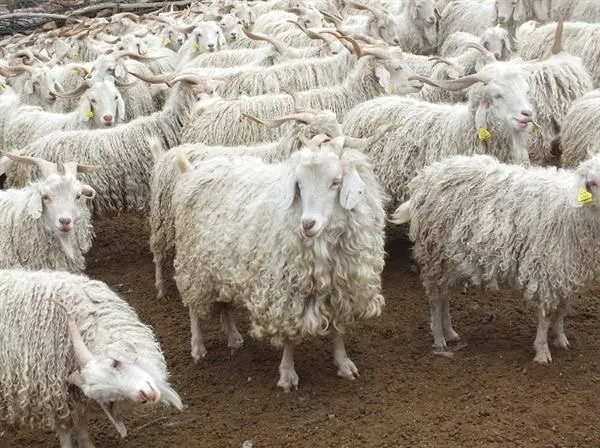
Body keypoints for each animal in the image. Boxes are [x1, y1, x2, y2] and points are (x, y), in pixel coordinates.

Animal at [0, 268, 183, 447]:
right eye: (110, 396)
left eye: (115, 363)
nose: (145, 396)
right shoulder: (53, 393)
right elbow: (65, 429)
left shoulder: (74, 393)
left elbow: (82, 420)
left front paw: (86, 443)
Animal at [171, 135, 386, 391]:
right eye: (299, 185)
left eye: (336, 182)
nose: (308, 224)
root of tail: (193, 171)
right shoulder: (286, 293)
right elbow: (289, 338)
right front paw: (287, 375)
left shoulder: (341, 292)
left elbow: (337, 330)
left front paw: (344, 363)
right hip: (193, 265)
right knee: (193, 309)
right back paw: (197, 347)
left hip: (220, 266)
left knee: (224, 305)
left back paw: (233, 337)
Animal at [390, 152, 600, 364]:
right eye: (593, 182)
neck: (574, 208)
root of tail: (426, 177)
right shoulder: (547, 268)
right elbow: (546, 314)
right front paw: (542, 352)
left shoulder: (568, 269)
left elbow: (562, 309)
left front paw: (560, 339)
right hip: (435, 255)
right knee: (435, 298)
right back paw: (439, 338)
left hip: (451, 260)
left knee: (444, 296)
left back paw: (449, 332)